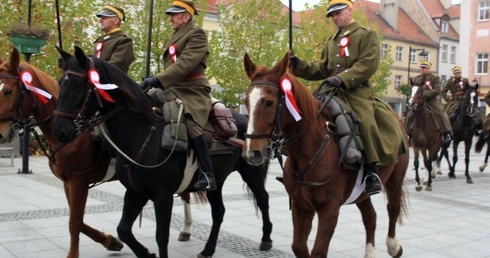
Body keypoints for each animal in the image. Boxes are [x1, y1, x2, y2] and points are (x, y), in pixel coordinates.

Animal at [0, 47, 122, 256]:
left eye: (8, 91)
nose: (0, 134)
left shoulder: (78, 182)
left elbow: (75, 222)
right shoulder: (67, 183)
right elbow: (78, 220)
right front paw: (111, 241)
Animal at [54, 46, 276, 258]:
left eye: (78, 84)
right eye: (60, 82)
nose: (61, 131)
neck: (144, 134)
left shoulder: (163, 195)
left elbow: (161, 235)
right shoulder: (135, 192)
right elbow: (123, 229)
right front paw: (144, 253)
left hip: (252, 172)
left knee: (263, 198)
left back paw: (266, 239)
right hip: (218, 181)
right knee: (219, 211)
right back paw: (208, 250)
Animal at [242, 53, 410, 258]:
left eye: (269, 102)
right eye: (246, 102)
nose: (252, 152)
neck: (310, 150)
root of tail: (398, 119)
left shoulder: (329, 210)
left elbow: (318, 251)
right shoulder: (300, 206)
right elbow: (299, 247)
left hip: (395, 180)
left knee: (392, 209)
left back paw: (393, 246)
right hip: (360, 192)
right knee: (370, 216)